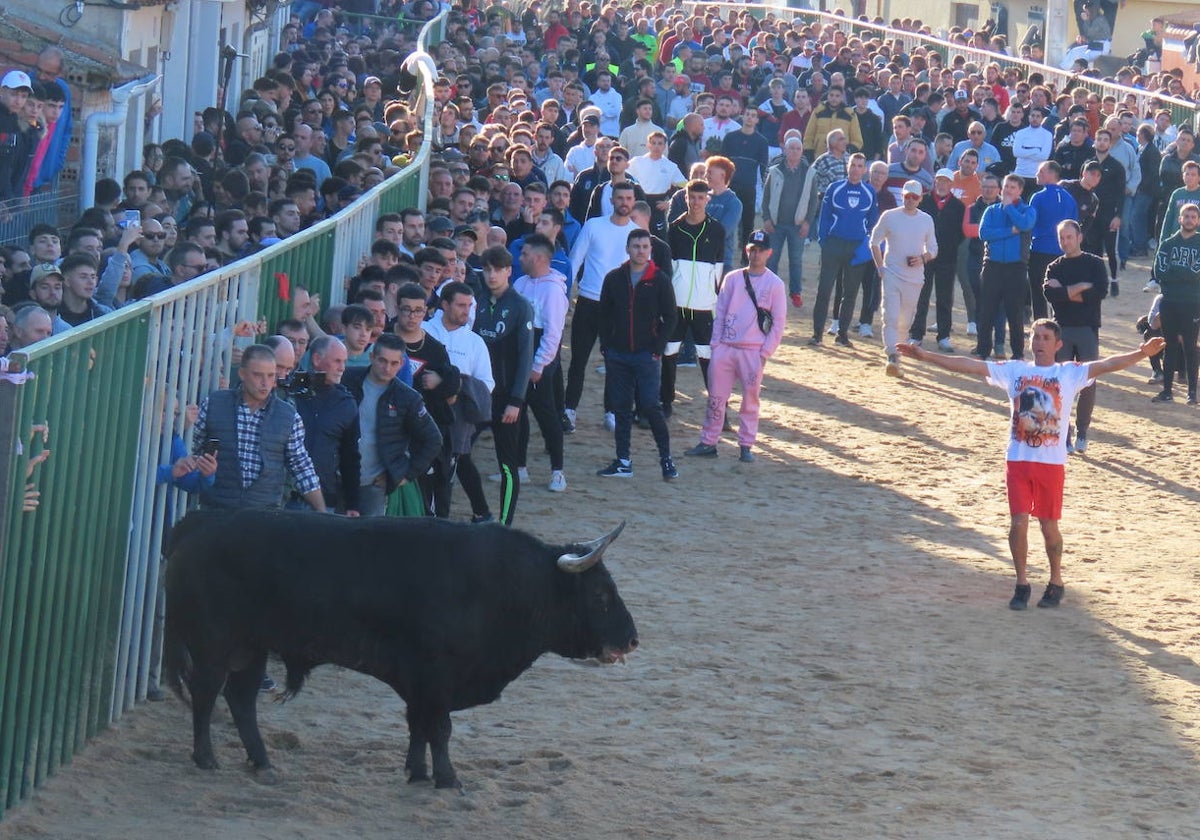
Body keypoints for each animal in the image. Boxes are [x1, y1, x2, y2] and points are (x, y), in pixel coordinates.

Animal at [164, 508, 643, 792]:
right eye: (601, 595)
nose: (632, 639)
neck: (504, 585)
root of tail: (199, 521)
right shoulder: (435, 675)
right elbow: (439, 729)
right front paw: (448, 780)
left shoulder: (418, 681)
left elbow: (418, 726)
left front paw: (417, 772)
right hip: (214, 643)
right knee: (205, 693)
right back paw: (206, 758)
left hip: (252, 648)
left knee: (240, 699)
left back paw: (262, 762)